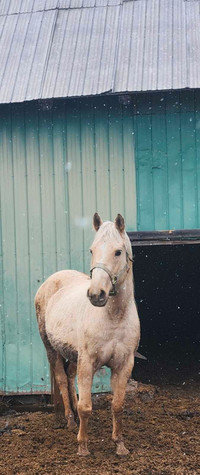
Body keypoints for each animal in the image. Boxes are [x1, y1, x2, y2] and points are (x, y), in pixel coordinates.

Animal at [34, 214, 141, 456]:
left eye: (118, 252)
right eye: (92, 250)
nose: (95, 294)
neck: (114, 318)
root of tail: (52, 279)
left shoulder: (124, 364)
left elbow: (118, 405)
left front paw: (120, 445)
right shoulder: (88, 362)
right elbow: (86, 407)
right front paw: (82, 446)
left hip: (73, 356)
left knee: (69, 376)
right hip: (50, 348)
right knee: (61, 378)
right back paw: (68, 420)